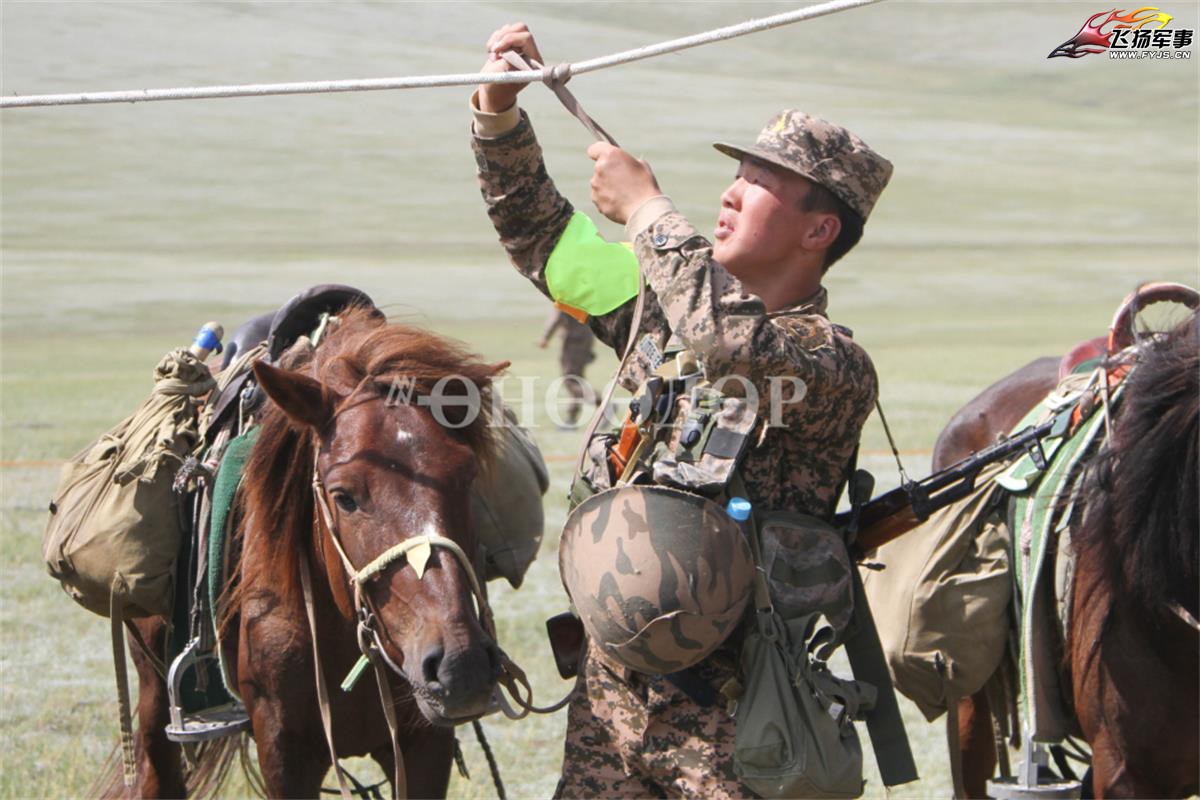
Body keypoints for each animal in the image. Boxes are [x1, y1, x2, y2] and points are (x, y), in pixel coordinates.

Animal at [103, 307, 506, 796]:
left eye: (467, 477)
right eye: (344, 496)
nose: (461, 665)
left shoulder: (424, 745)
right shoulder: (284, 750)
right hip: (152, 689)